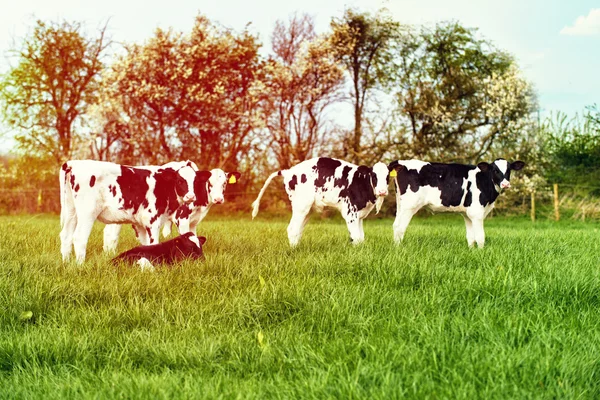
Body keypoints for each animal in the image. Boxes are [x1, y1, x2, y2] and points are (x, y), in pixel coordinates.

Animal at [60, 159, 197, 262]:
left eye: (194, 181)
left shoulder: (140, 224)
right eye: (180, 180)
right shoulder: (153, 221)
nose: (191, 196)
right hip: (87, 213)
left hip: (71, 211)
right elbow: (153, 244)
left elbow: (145, 245)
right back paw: (80, 265)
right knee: (79, 237)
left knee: (66, 236)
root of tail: (73, 163)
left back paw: (67, 264)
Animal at [252, 157, 390, 245]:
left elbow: (361, 238)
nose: (382, 191)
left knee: (298, 231)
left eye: (388, 176)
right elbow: (355, 238)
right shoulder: (350, 213)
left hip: (307, 210)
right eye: (374, 175)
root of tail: (289, 171)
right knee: (292, 229)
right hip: (301, 206)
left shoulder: (360, 215)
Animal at [390, 159, 524, 247]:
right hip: (410, 206)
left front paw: (472, 252)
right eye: (495, 170)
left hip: (401, 205)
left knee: (395, 225)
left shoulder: (468, 214)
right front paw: (481, 253)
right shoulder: (477, 213)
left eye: (509, 170)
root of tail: (401, 162)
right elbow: (480, 237)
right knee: (400, 227)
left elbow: (471, 237)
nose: (505, 184)